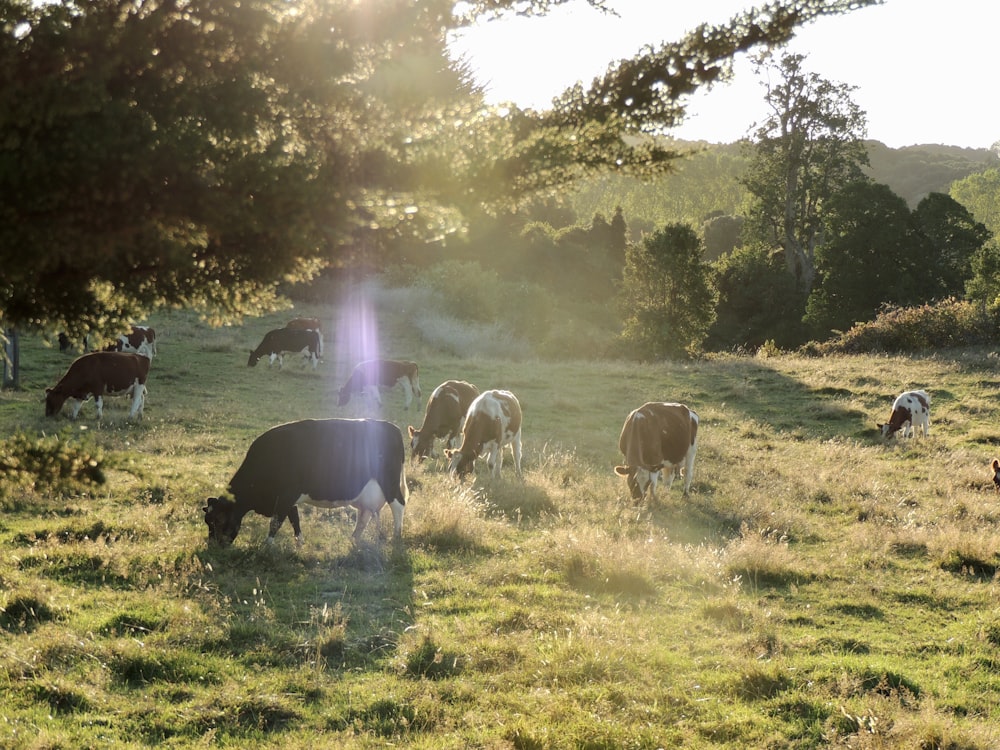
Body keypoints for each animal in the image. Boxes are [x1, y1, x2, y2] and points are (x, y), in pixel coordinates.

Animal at [203, 418, 410, 548]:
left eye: (219, 520)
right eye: (208, 521)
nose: (212, 546)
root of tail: (392, 427)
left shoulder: (287, 494)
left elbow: (276, 522)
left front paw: (267, 546)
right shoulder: (287, 498)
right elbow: (294, 518)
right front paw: (299, 543)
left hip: (389, 483)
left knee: (398, 505)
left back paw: (396, 536)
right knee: (364, 515)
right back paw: (354, 539)